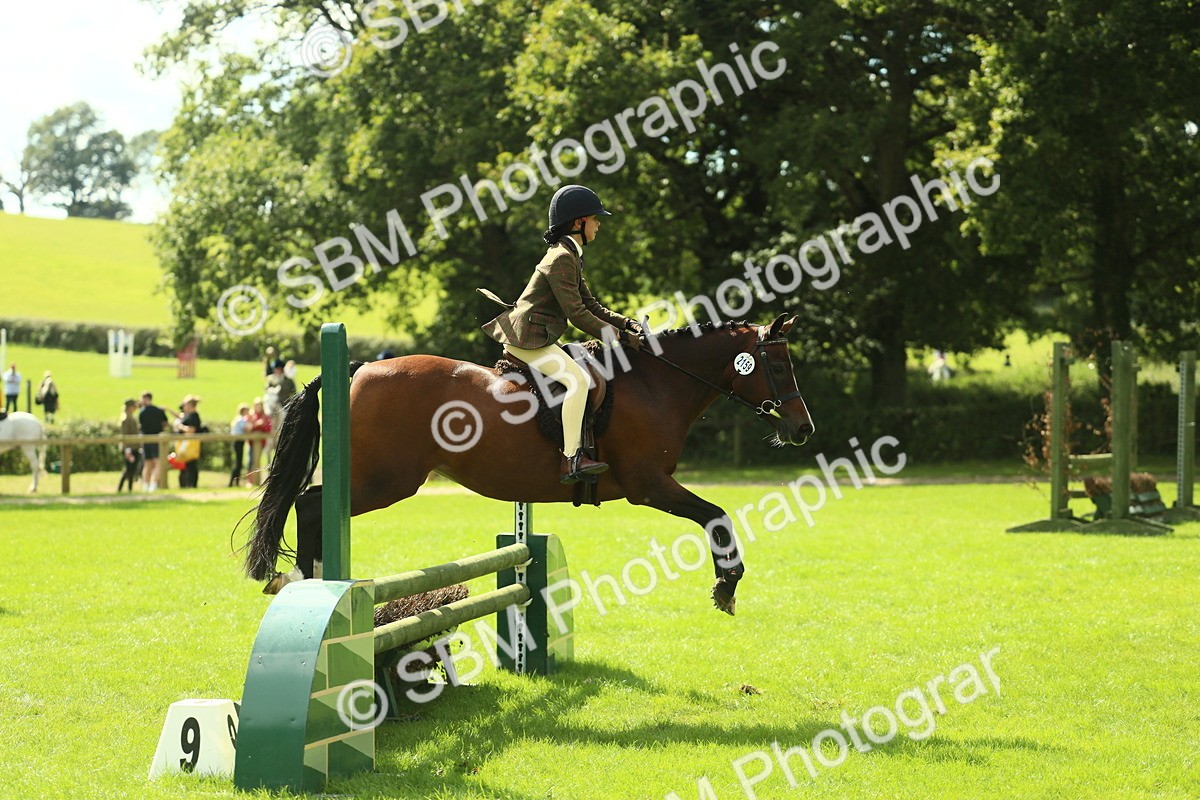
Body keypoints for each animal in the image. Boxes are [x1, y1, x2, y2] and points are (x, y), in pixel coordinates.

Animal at [243, 314, 814, 615]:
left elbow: (715, 514)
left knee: (310, 506)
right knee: (310, 504)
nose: (803, 429)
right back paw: (304, 579)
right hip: (382, 482)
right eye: (779, 364)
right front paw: (727, 584)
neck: (657, 383)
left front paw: (727, 583)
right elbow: (717, 515)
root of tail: (359, 368)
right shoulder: (649, 484)